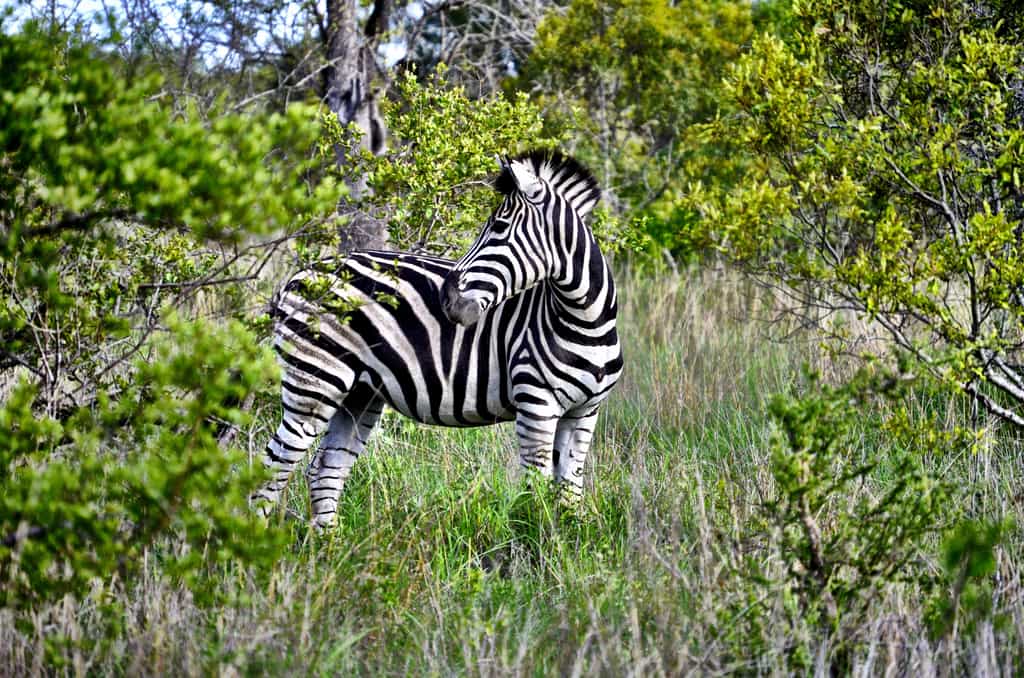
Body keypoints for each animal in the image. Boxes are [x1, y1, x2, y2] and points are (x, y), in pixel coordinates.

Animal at [253, 149, 624, 528]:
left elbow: (569, 493)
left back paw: (329, 542)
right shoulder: (536, 405)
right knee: (273, 468)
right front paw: (532, 537)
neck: (585, 322)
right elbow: (536, 493)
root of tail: (297, 276)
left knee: (324, 469)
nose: (447, 298)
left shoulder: (585, 412)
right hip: (314, 382)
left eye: (498, 228)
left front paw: (567, 535)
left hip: (359, 393)